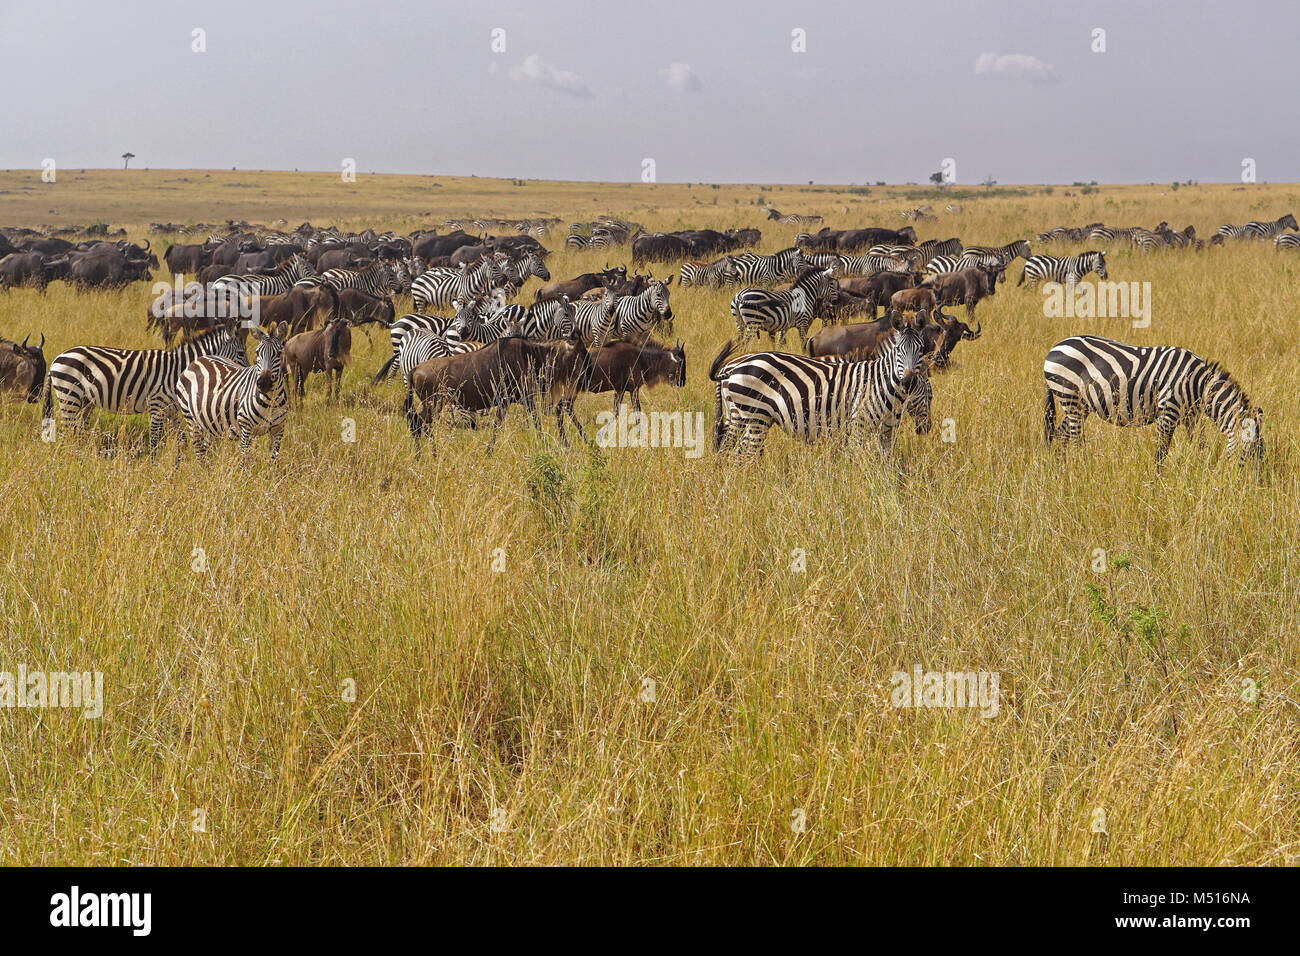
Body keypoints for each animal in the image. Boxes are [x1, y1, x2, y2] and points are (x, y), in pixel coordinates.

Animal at [44, 327, 248, 447]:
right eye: (240, 352)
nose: (247, 372)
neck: (179, 370)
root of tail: (57, 358)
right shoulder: (157, 405)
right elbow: (155, 440)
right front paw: (153, 466)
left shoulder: (171, 409)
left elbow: (181, 440)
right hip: (69, 396)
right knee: (68, 431)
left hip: (84, 402)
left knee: (78, 431)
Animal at [175, 319, 289, 463]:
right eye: (257, 352)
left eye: (279, 354)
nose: (264, 383)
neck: (270, 400)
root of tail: (198, 360)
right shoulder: (246, 429)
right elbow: (244, 462)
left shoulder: (278, 430)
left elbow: (273, 461)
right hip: (191, 419)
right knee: (199, 454)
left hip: (210, 425)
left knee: (205, 453)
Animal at [712, 314, 935, 460]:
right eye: (898, 351)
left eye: (920, 350)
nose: (926, 428)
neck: (882, 384)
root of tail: (732, 367)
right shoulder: (858, 426)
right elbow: (855, 461)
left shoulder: (885, 433)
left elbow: (885, 465)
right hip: (756, 417)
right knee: (743, 454)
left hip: (737, 416)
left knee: (727, 448)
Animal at [1040, 335, 1263, 468]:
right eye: (1253, 449)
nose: (1259, 484)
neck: (1197, 384)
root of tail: (1054, 348)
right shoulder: (1168, 412)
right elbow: (1161, 453)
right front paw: (1158, 485)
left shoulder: (1191, 417)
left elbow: (1200, 446)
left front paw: (1200, 471)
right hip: (1069, 395)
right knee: (1074, 439)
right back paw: (1080, 470)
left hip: (1078, 404)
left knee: (1060, 435)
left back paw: (1060, 469)